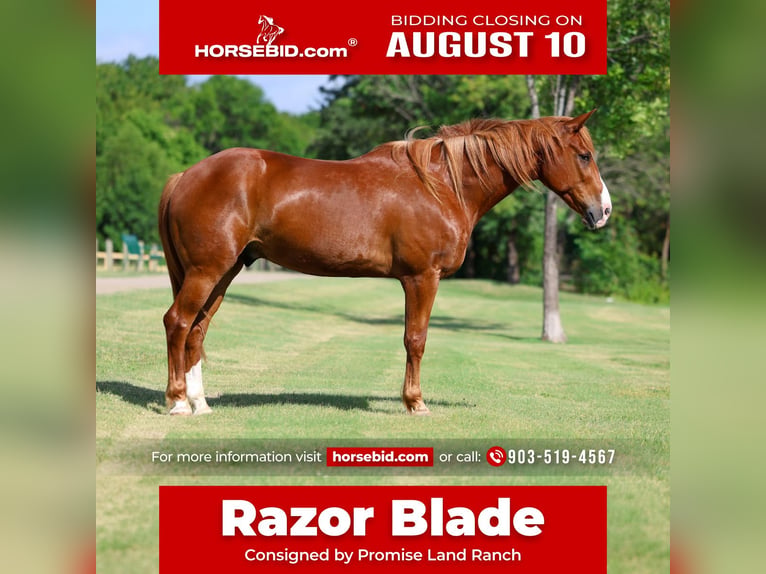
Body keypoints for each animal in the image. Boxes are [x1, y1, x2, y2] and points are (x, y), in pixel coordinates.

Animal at [158, 111, 612, 416]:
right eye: (584, 156)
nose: (603, 211)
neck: (442, 186)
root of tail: (184, 175)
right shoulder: (422, 278)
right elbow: (416, 340)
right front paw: (416, 403)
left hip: (224, 272)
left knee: (197, 330)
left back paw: (200, 403)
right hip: (206, 272)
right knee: (177, 322)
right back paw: (178, 402)